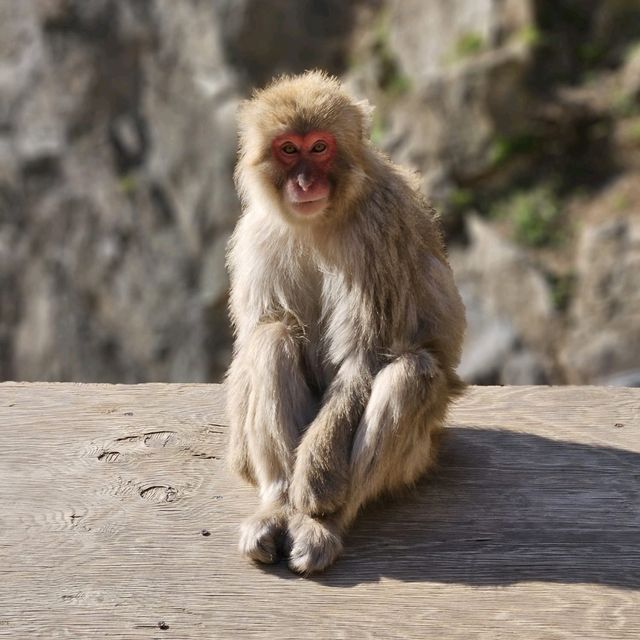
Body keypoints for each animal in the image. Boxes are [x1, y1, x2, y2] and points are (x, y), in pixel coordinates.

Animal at [225, 71, 464, 576]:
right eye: (288, 150)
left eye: (319, 148)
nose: (303, 180)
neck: (320, 219)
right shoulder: (257, 235)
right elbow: (262, 333)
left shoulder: (378, 230)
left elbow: (364, 359)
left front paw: (318, 481)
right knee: (272, 338)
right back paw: (277, 506)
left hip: (419, 454)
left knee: (411, 374)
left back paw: (322, 523)